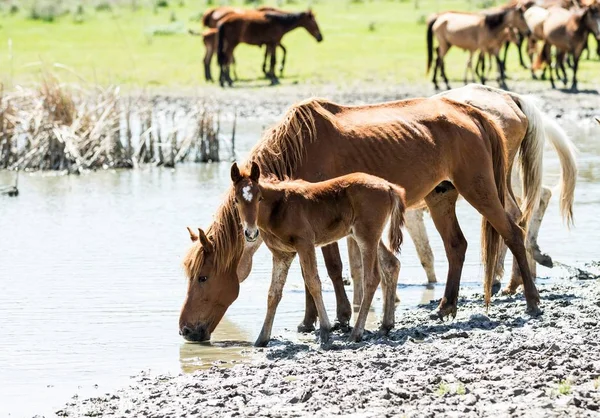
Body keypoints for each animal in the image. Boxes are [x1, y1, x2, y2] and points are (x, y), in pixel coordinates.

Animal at [227, 163, 406, 346]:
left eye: (259, 198)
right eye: (236, 200)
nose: (250, 233)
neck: (279, 207)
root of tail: (389, 187)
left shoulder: (305, 244)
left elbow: (313, 283)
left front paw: (325, 330)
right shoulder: (282, 255)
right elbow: (273, 293)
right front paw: (262, 338)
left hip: (366, 237)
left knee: (371, 278)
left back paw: (356, 333)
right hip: (368, 237)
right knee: (392, 264)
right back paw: (385, 326)